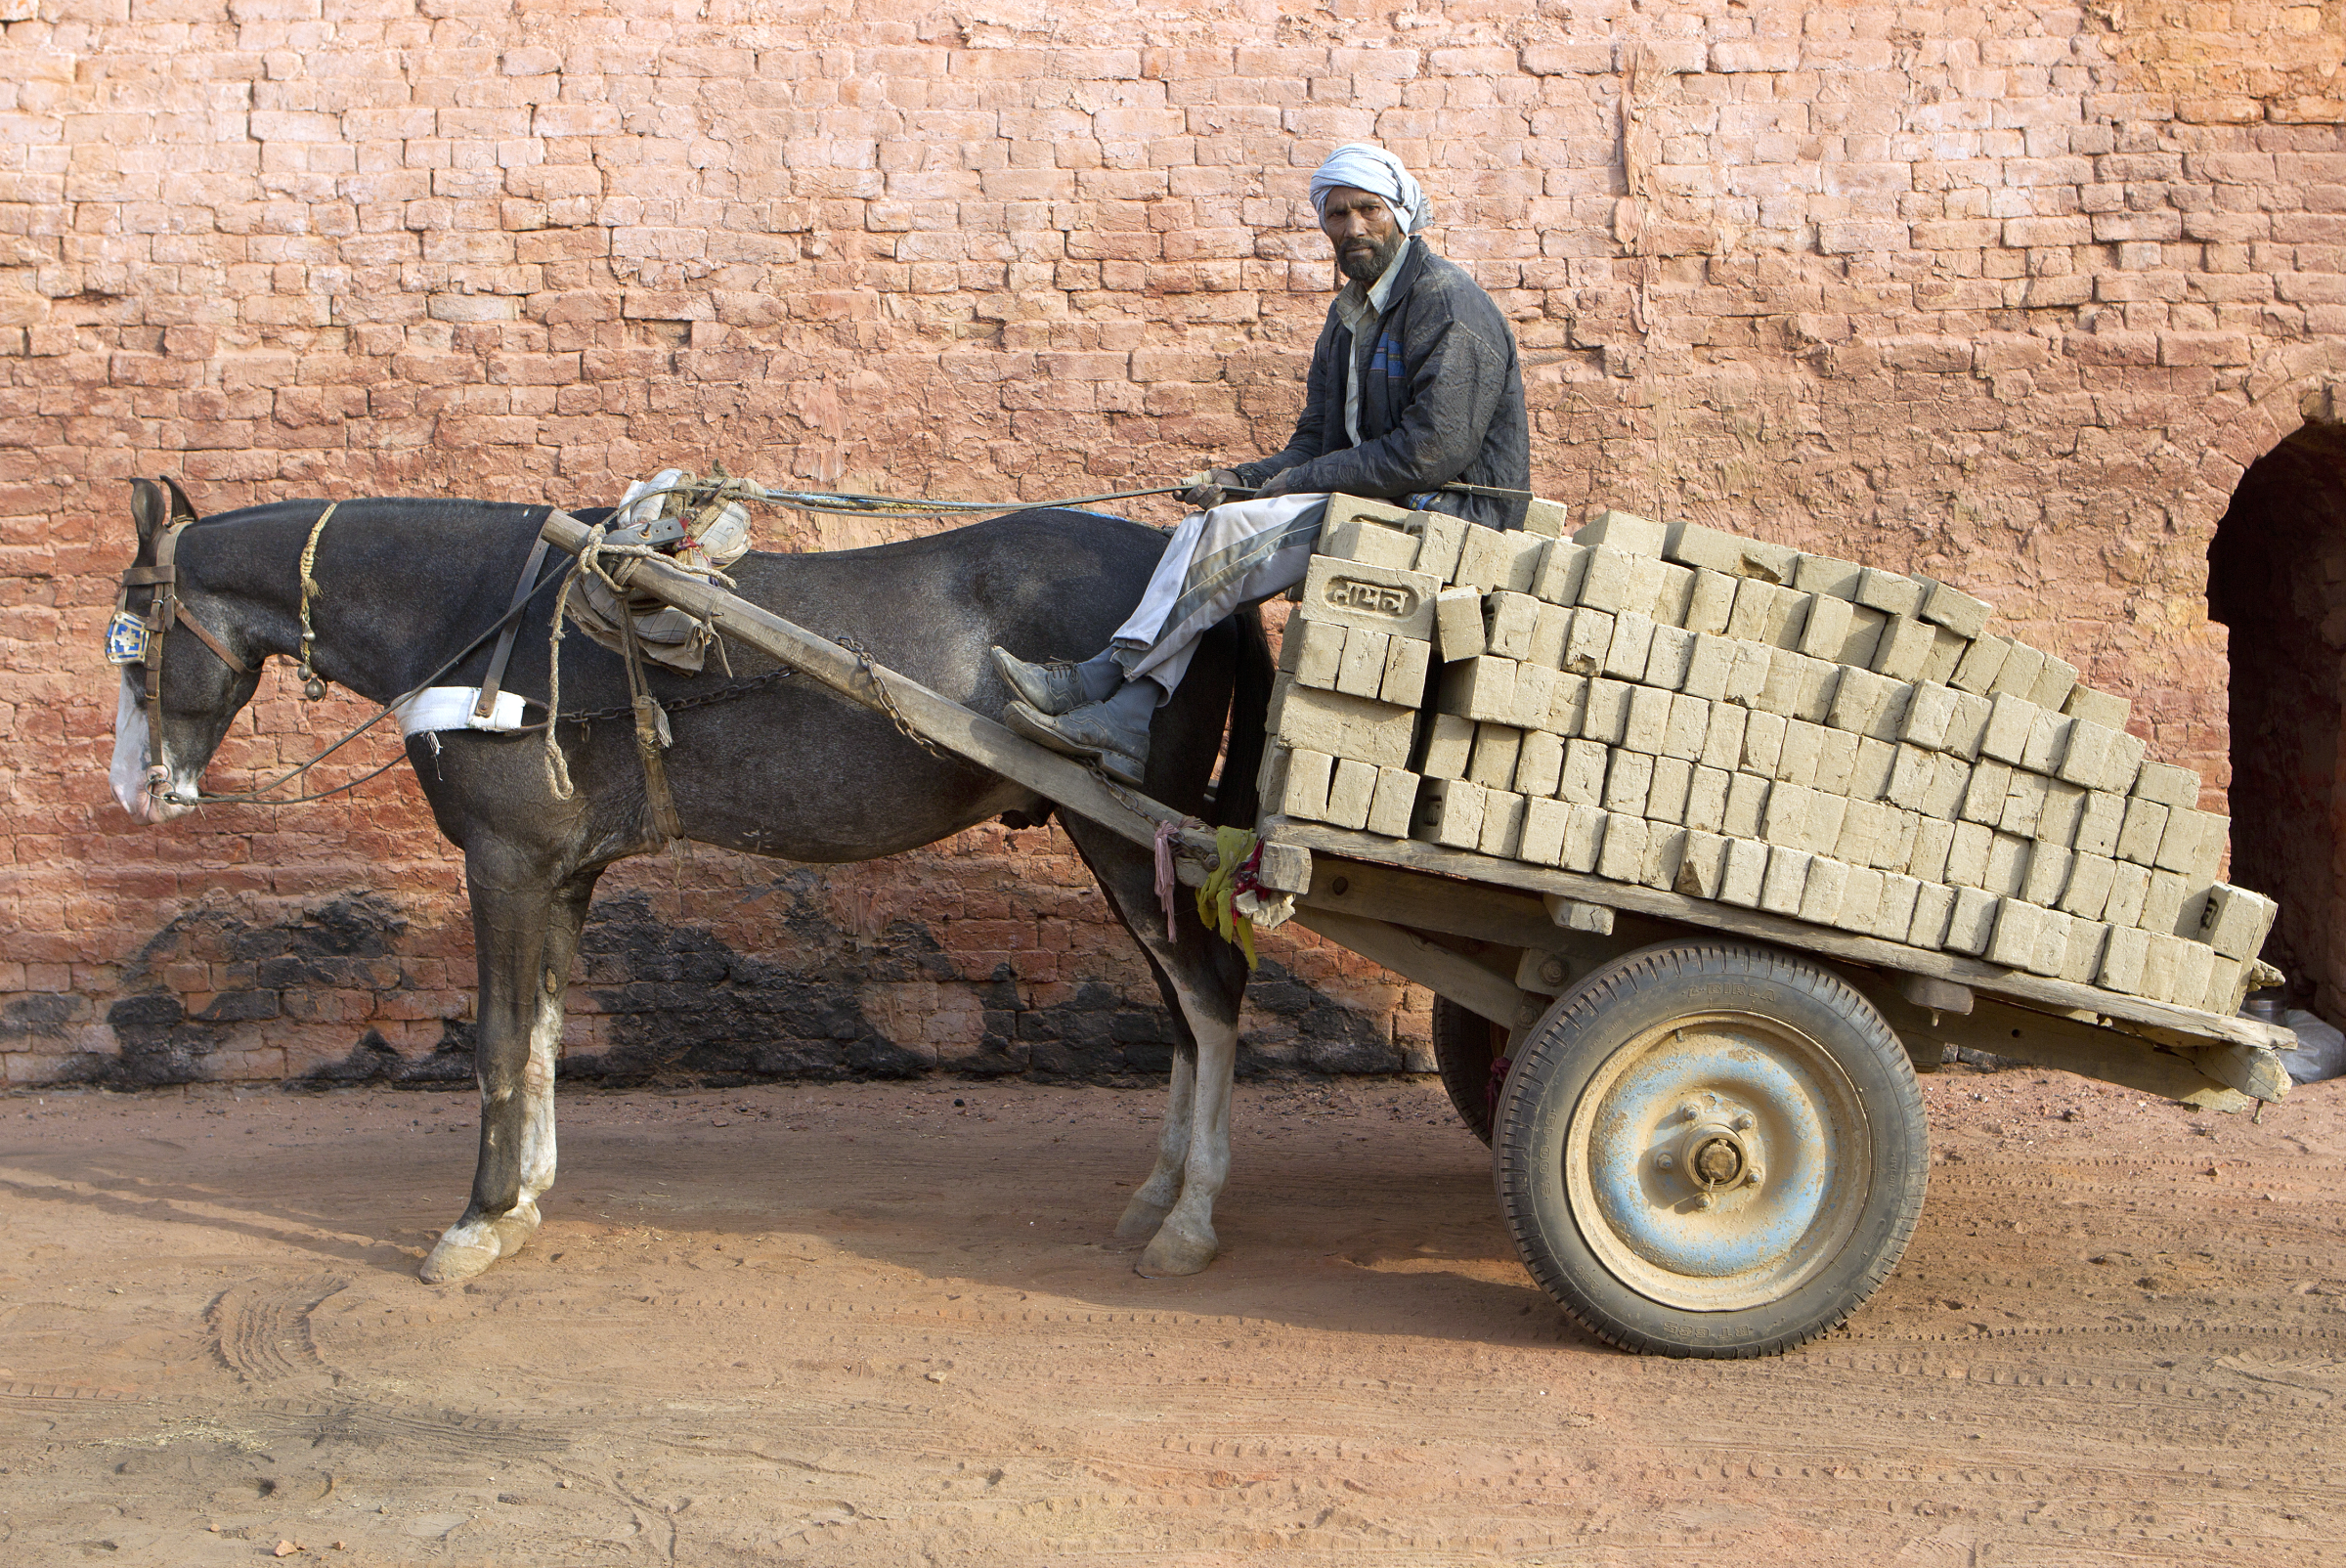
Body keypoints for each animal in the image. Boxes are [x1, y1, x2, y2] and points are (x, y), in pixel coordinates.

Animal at [111, 478, 1276, 1285]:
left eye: (132, 641)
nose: (137, 789)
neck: (481, 621)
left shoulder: (504, 863)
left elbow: (497, 1040)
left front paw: (477, 1221)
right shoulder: (562, 870)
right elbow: (544, 1032)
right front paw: (525, 1199)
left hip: (1130, 828)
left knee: (1211, 996)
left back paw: (1191, 1218)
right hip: (1126, 840)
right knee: (1183, 1006)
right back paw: (1161, 1190)